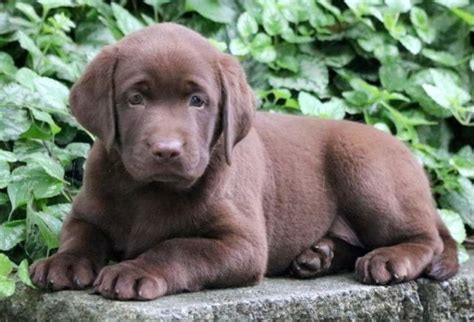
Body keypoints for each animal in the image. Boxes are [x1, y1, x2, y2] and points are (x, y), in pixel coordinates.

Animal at [30, 23, 460, 300]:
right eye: (135, 98)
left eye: (197, 101)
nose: (167, 150)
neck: (150, 191)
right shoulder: (86, 211)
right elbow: (80, 236)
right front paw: (62, 263)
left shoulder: (243, 245)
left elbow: (178, 247)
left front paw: (134, 271)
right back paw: (318, 256)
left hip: (368, 175)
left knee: (430, 238)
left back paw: (389, 258)